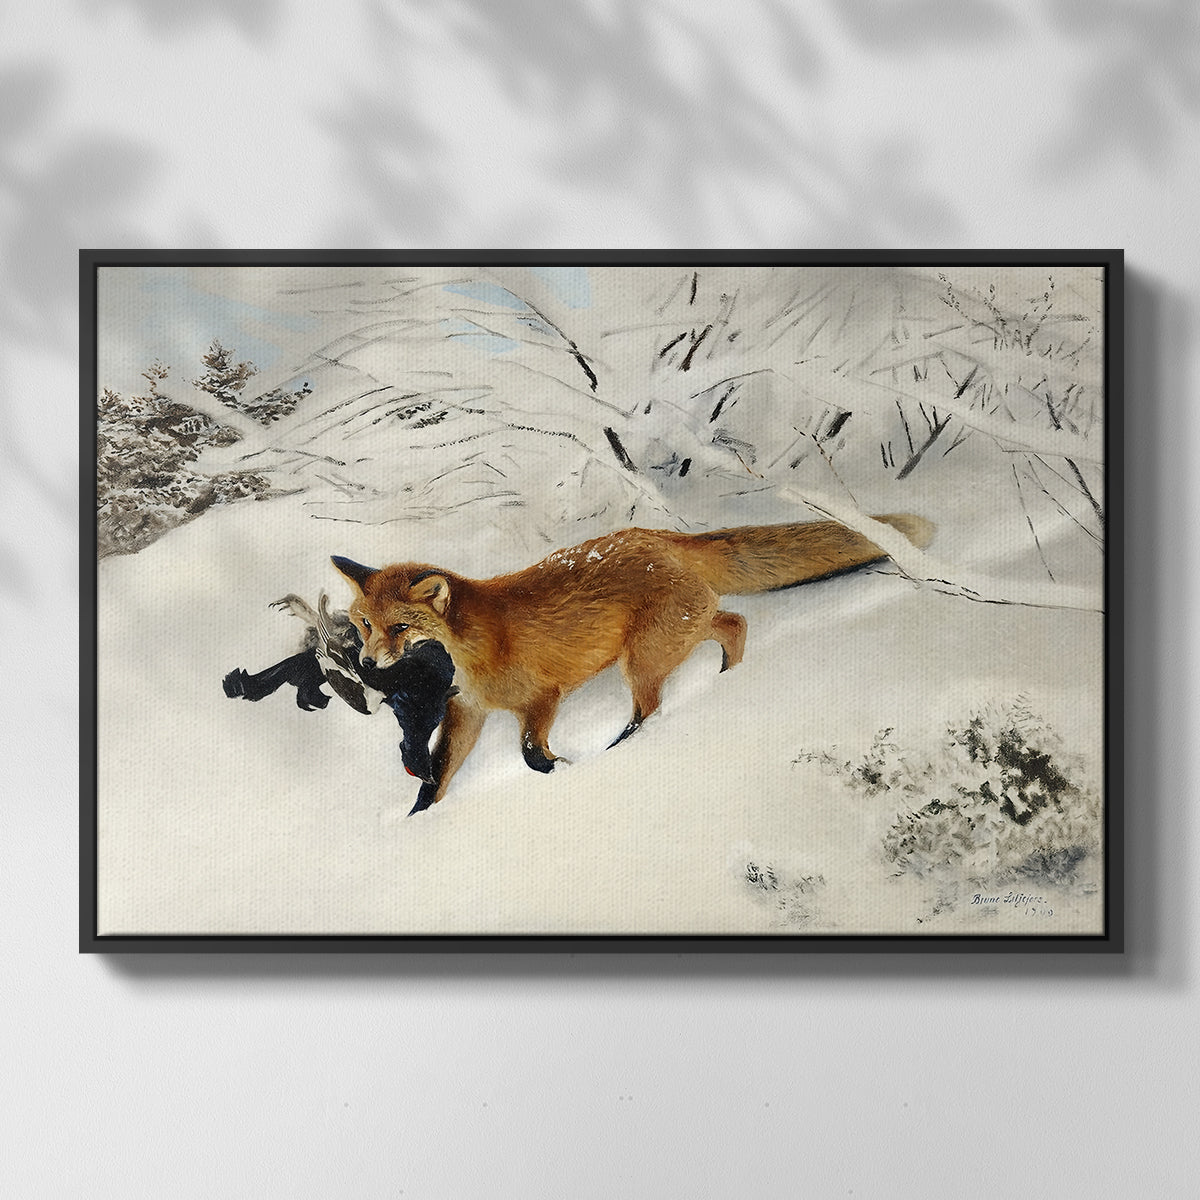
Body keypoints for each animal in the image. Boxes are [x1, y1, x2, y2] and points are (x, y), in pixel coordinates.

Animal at [332, 513, 934, 814]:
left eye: (399, 628)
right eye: (364, 624)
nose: (367, 662)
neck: (475, 649)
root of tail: (659, 536)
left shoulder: (542, 698)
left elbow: (530, 754)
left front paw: (565, 770)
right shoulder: (468, 712)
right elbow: (437, 777)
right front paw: (418, 820)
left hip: (642, 660)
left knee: (652, 708)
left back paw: (625, 747)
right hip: (677, 635)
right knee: (734, 623)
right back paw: (728, 679)